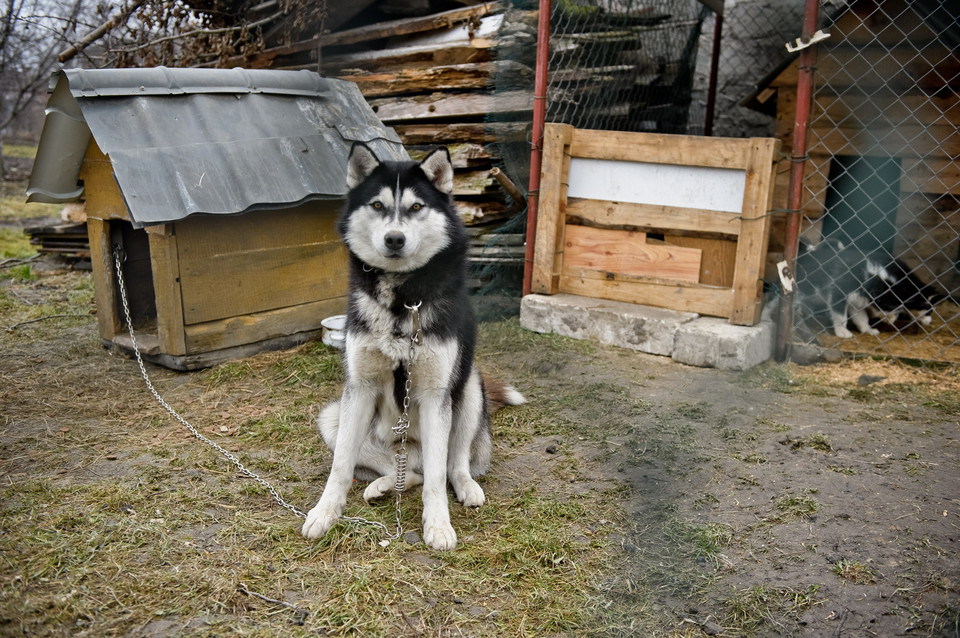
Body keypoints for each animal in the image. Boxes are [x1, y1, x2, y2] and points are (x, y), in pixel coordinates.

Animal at [302, 142, 520, 552]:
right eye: (377, 205)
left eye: (417, 206)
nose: (394, 239)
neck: (402, 300)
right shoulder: (359, 388)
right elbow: (340, 467)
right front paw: (325, 513)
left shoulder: (437, 395)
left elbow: (436, 478)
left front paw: (438, 526)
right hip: (334, 418)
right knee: (407, 473)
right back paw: (385, 486)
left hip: (468, 389)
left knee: (450, 465)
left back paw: (465, 486)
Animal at [796, 240, 944, 340]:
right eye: (928, 310)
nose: (929, 321)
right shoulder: (839, 294)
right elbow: (841, 317)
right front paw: (842, 332)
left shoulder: (858, 300)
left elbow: (862, 317)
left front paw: (868, 329)